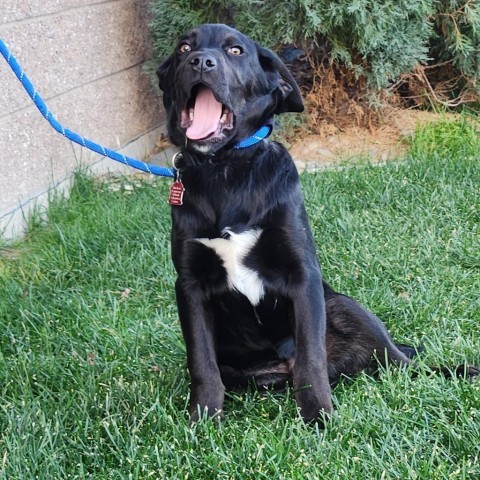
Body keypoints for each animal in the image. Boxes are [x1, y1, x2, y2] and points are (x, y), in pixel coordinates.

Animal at [157, 23, 476, 420]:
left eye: (235, 51)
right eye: (184, 48)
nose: (200, 61)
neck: (226, 171)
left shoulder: (302, 275)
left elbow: (311, 360)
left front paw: (318, 417)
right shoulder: (190, 286)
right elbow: (201, 362)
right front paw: (202, 419)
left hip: (348, 308)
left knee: (400, 364)